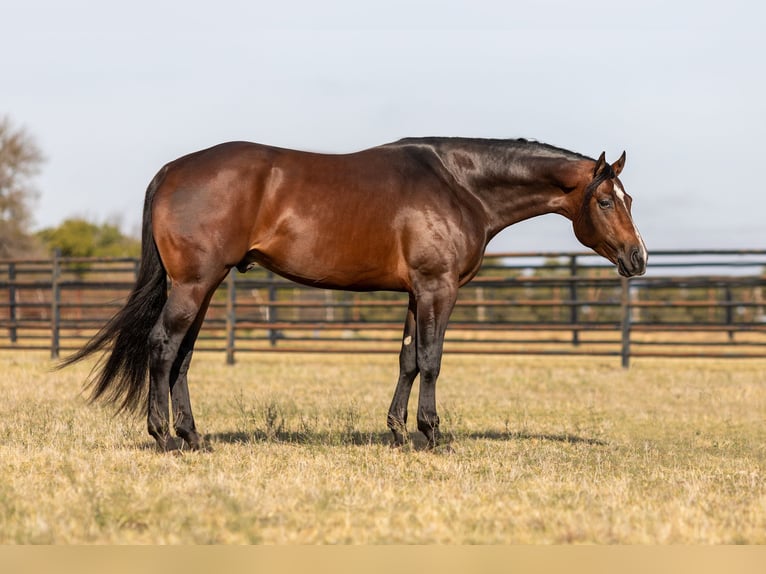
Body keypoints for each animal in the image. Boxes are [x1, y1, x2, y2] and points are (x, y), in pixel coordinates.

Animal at [63, 137, 648, 452]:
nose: (638, 258)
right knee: (163, 347)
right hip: (193, 284)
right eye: (605, 201)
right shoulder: (438, 288)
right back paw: (164, 437)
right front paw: (431, 434)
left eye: (629, 199)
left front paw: (397, 433)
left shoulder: (417, 292)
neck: (460, 185)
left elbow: (408, 359)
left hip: (204, 286)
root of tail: (170, 171)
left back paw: (192, 436)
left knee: (181, 356)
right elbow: (432, 360)